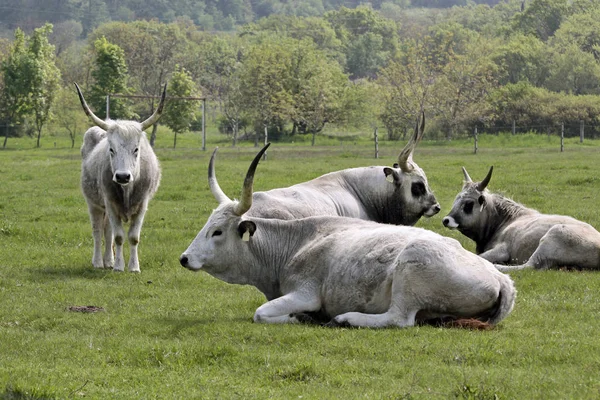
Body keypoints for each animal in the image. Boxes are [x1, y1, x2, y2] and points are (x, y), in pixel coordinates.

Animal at [78, 83, 166, 274]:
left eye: (136, 149)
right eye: (111, 149)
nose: (123, 176)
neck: (127, 189)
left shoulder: (142, 205)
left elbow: (133, 237)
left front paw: (133, 267)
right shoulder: (110, 202)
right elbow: (118, 236)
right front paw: (119, 266)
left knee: (107, 231)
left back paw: (108, 260)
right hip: (94, 203)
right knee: (98, 231)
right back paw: (99, 261)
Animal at [179, 145, 516, 326]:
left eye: (217, 231)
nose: (184, 258)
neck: (293, 244)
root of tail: (500, 278)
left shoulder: (305, 293)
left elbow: (260, 313)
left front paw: (300, 317)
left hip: (410, 272)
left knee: (399, 318)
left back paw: (346, 319)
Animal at [440, 166, 600, 272]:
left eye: (468, 204)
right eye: (456, 199)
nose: (446, 220)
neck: (505, 220)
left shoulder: (502, 249)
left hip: (552, 237)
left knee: (529, 266)